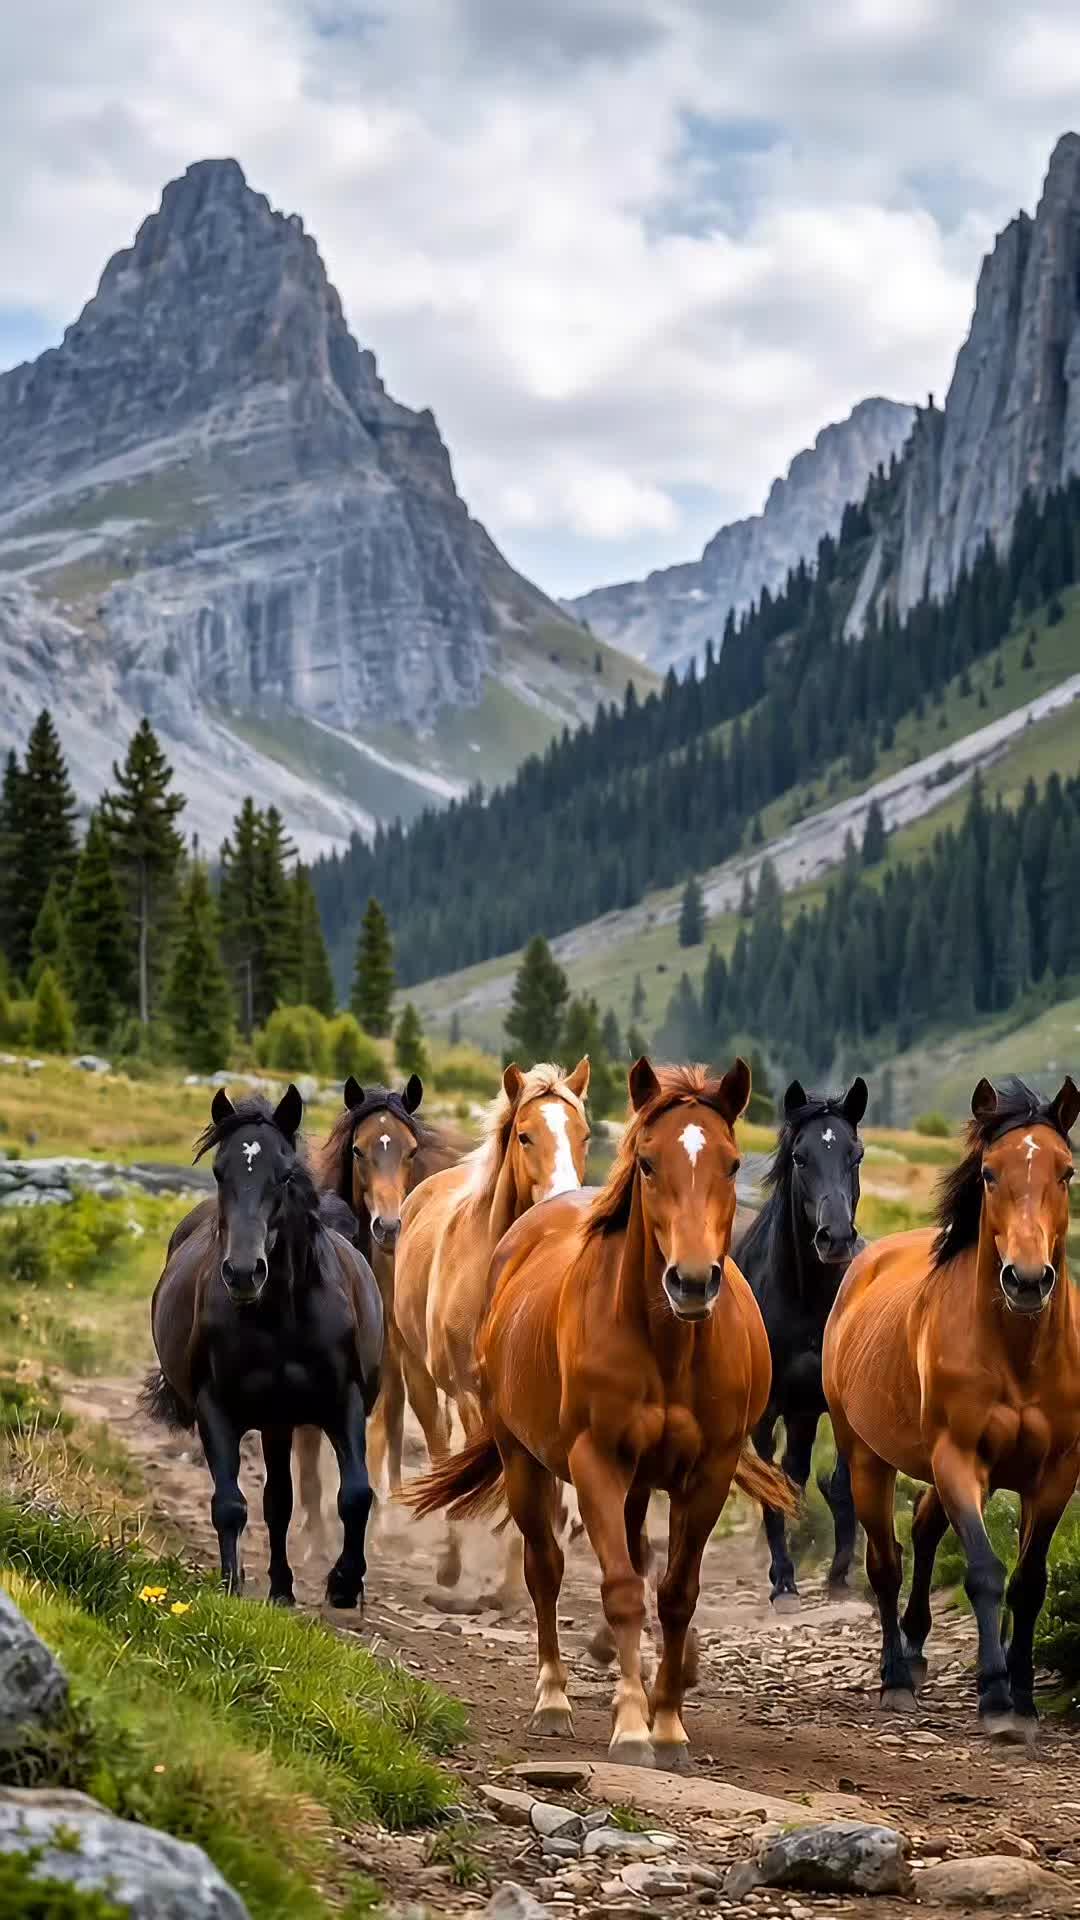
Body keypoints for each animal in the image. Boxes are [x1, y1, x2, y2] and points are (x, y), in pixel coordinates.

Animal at [143, 1086, 383, 1609]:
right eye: (219, 1171)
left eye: (286, 1174)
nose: (242, 1273)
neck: (280, 1319)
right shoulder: (215, 1405)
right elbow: (230, 1503)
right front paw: (232, 1585)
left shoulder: (344, 1400)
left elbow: (356, 1494)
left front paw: (344, 1583)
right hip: (273, 1421)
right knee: (273, 1502)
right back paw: (278, 1587)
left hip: (281, 1421)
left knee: (281, 1502)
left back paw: (285, 1587)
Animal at [292, 1074, 464, 1549]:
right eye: (357, 1149)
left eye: (410, 1150)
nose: (387, 1227)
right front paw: (314, 1528)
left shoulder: (385, 1356)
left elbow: (377, 1427)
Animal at [393, 1056, 591, 1597]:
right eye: (525, 1136)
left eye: (584, 1135)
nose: (565, 1201)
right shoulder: (469, 1392)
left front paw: (511, 1584)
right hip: (419, 1375)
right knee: (441, 1448)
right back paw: (451, 1562)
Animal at [823, 1073, 1080, 1741]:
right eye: (988, 1172)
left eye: (1066, 1171)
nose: (1027, 1280)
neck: (1018, 1354)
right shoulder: (960, 1459)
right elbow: (986, 1572)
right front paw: (994, 1698)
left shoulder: (1055, 1474)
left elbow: (1030, 1582)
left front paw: (1024, 1699)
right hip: (868, 1458)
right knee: (885, 1561)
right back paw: (895, 1677)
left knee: (923, 1527)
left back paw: (915, 1651)